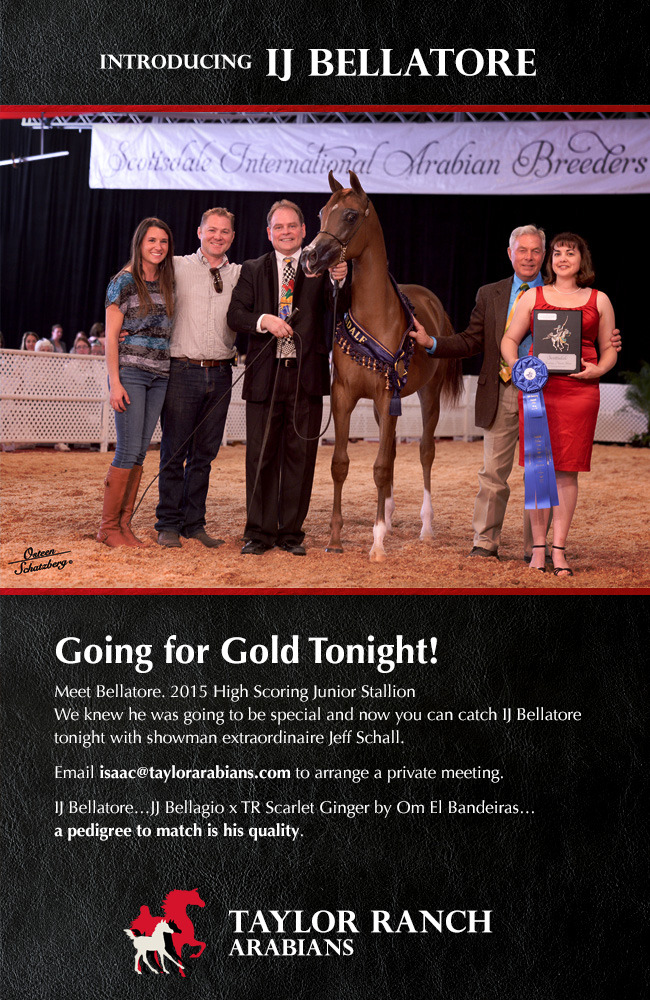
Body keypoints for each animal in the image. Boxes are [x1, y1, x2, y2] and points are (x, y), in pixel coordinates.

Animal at [300, 171, 463, 561]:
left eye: (349, 216)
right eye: (321, 213)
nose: (309, 258)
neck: (376, 315)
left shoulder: (387, 394)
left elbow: (379, 466)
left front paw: (376, 545)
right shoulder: (345, 397)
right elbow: (341, 464)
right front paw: (336, 539)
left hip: (428, 396)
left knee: (424, 452)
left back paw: (425, 528)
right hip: (383, 407)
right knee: (390, 452)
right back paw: (388, 520)